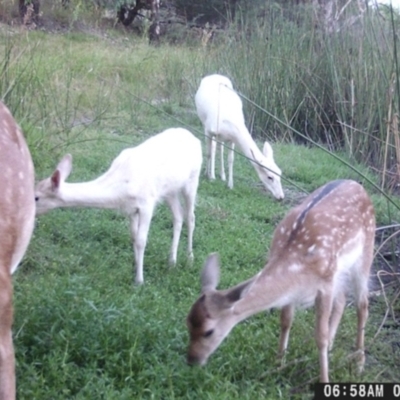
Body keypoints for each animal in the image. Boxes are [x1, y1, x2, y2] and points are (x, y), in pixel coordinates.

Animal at [34, 128, 202, 284]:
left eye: (36, 197)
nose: (28, 212)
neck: (121, 189)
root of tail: (196, 139)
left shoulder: (147, 203)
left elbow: (141, 240)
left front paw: (139, 280)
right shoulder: (131, 208)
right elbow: (133, 236)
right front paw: (135, 266)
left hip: (193, 179)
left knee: (191, 217)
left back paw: (189, 257)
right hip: (169, 191)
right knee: (178, 215)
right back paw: (171, 261)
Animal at [187, 180, 376, 382]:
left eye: (208, 331)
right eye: (187, 323)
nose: (192, 360)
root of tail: (357, 184)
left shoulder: (325, 283)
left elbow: (320, 336)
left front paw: (324, 379)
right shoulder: (300, 290)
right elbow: (286, 320)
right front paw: (279, 364)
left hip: (365, 253)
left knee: (362, 305)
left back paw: (359, 364)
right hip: (340, 272)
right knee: (342, 300)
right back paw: (335, 348)